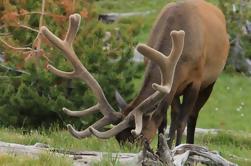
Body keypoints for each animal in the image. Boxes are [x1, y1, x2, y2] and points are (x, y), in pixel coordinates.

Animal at [40, 0, 229, 148]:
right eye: (119, 140)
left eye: (141, 137)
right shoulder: (172, 85)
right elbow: (163, 122)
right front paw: (162, 149)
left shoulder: (195, 81)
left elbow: (183, 120)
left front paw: (178, 150)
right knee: (174, 115)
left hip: (210, 82)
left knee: (192, 115)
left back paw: (188, 145)